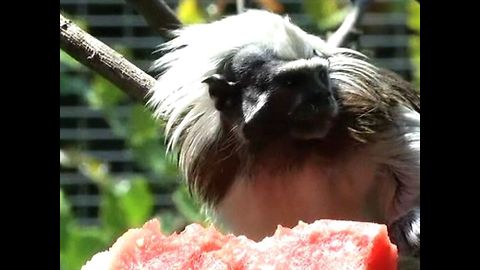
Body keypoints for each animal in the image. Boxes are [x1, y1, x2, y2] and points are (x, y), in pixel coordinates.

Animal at [148, 10, 418, 260]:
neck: (284, 142)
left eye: (320, 76)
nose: (323, 97)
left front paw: (409, 221)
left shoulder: (362, 104)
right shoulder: (219, 165)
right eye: (291, 83)